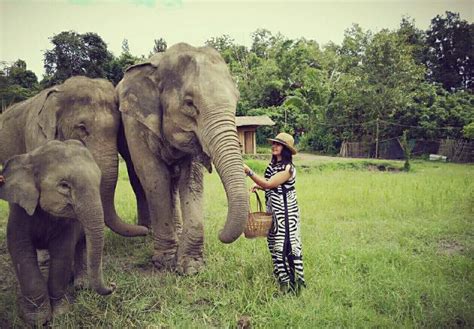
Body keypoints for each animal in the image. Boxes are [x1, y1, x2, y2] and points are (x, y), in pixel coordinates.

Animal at [0, 140, 115, 324]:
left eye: (99, 182)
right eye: (64, 185)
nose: (113, 285)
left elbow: (62, 254)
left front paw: (61, 313)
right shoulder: (19, 212)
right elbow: (21, 251)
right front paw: (37, 320)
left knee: (82, 244)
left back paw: (81, 285)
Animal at [117, 43, 250, 274]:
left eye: (236, 99)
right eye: (189, 103)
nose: (220, 233)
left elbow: (191, 179)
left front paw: (190, 267)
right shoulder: (134, 122)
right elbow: (153, 176)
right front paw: (163, 261)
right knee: (139, 179)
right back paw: (147, 232)